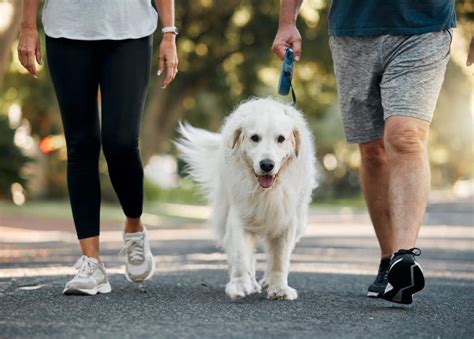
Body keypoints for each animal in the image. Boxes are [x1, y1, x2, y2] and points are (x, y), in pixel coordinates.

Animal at [176, 97, 316, 300]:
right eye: (254, 137)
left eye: (281, 139)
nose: (267, 165)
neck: (265, 191)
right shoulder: (239, 216)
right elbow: (241, 256)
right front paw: (240, 285)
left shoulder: (286, 219)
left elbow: (280, 259)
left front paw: (279, 288)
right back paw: (252, 283)